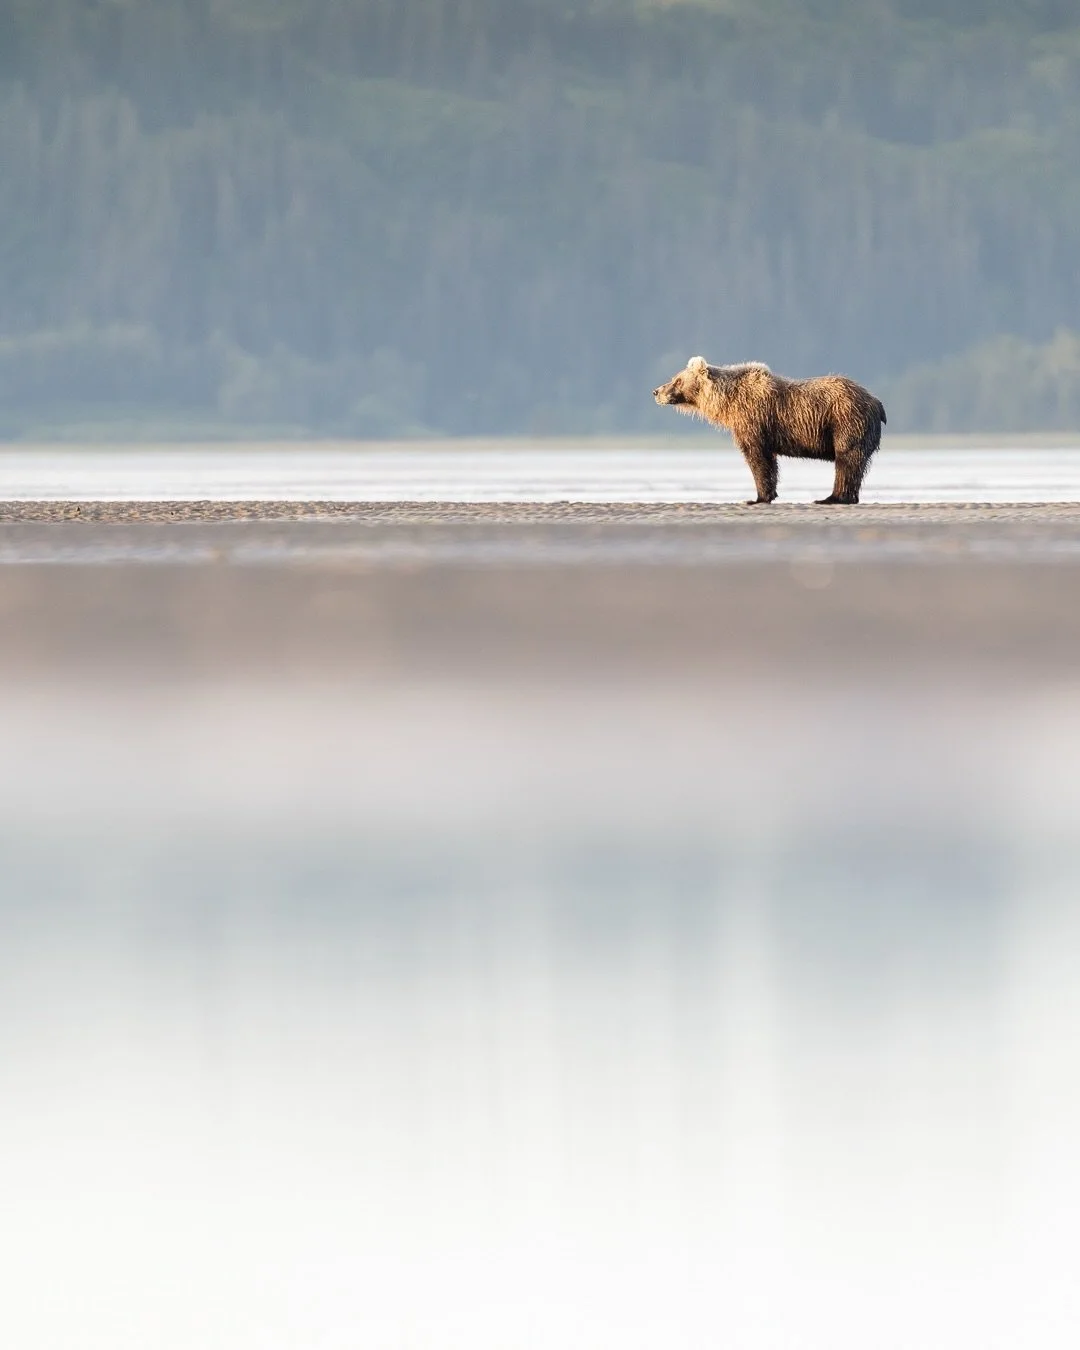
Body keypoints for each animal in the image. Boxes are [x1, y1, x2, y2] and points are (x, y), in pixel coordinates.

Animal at [653, 357, 886, 505]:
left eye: (677, 379)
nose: (656, 391)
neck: (728, 402)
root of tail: (875, 401)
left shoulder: (754, 421)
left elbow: (758, 459)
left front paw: (756, 497)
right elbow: (769, 461)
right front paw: (768, 494)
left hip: (845, 419)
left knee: (846, 459)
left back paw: (831, 498)